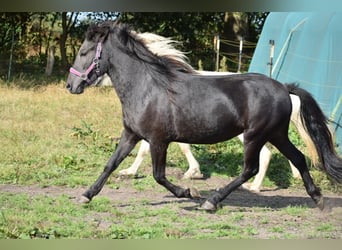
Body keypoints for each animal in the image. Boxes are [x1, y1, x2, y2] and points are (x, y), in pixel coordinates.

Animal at [65, 22, 340, 212]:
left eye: (84, 52)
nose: (70, 85)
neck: (147, 87)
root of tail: (284, 87)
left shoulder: (158, 140)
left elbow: (159, 175)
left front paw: (190, 192)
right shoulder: (131, 134)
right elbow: (111, 164)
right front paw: (86, 195)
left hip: (255, 135)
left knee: (250, 167)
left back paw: (213, 201)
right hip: (277, 134)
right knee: (299, 158)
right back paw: (318, 199)